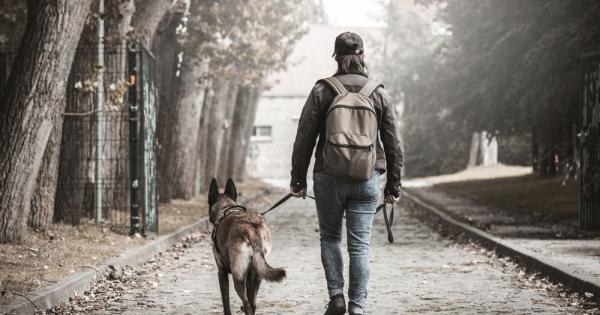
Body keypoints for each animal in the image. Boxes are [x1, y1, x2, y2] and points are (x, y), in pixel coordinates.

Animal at [209, 179, 286, 315]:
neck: (226, 209)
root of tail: (251, 226)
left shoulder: (222, 273)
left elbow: (226, 303)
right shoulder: (250, 275)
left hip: (238, 277)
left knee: (247, 304)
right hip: (258, 274)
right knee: (253, 304)